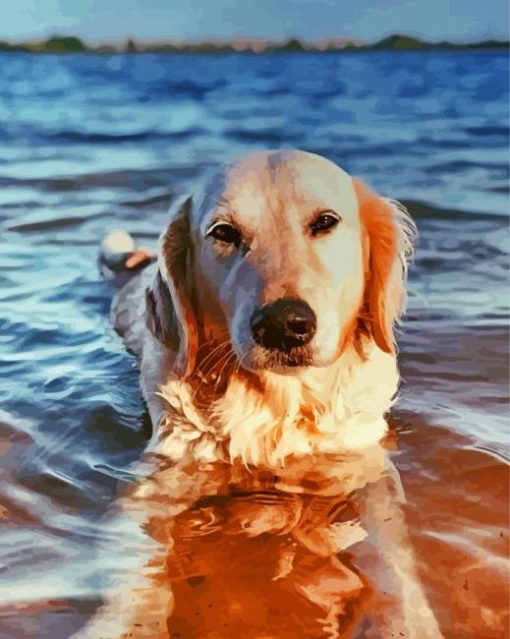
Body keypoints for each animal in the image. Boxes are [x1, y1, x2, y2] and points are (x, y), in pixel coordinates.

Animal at [75, 151, 442, 639]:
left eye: (326, 222)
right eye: (223, 233)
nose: (283, 324)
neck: (279, 402)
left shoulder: (362, 463)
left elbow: (392, 558)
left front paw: (408, 620)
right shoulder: (163, 473)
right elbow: (137, 569)